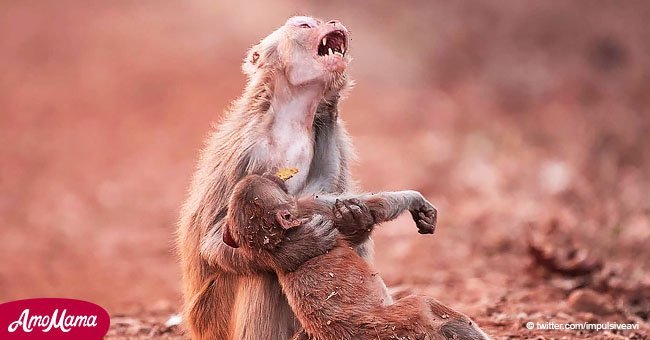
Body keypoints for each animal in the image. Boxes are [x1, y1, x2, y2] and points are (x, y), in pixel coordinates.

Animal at [175, 17, 384, 338]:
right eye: (305, 25)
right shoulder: (247, 150)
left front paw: (354, 219)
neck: (291, 118)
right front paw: (296, 249)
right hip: (215, 320)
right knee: (260, 273)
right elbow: (214, 240)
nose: (332, 22)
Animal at [223, 175, 486, 340]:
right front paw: (417, 200)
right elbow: (377, 206)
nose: (276, 176)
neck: (280, 239)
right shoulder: (309, 208)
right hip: (407, 318)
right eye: (268, 183)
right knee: (429, 305)